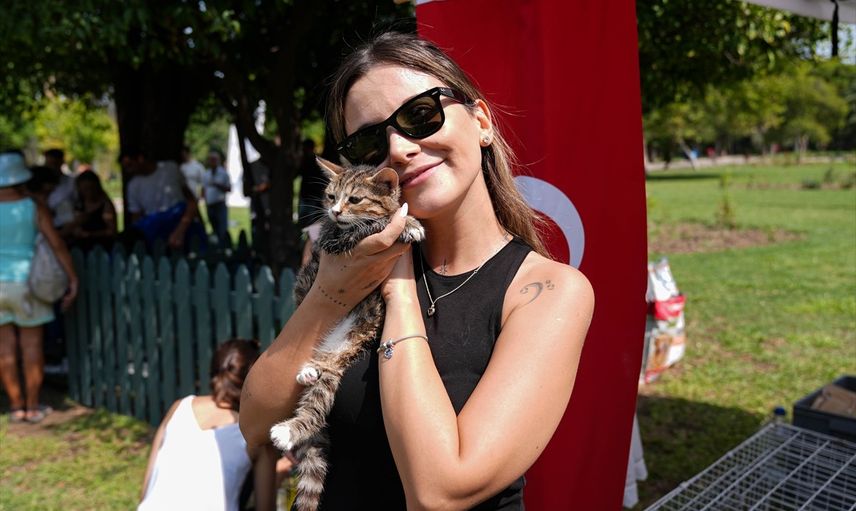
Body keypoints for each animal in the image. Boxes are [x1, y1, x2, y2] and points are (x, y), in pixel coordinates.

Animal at [270, 157, 424, 511]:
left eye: (354, 199)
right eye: (330, 196)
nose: (335, 211)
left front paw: (407, 220)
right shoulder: (331, 239)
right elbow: (366, 227)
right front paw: (403, 223)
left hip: (346, 347)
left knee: (324, 376)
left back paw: (308, 378)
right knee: (315, 405)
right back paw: (289, 426)